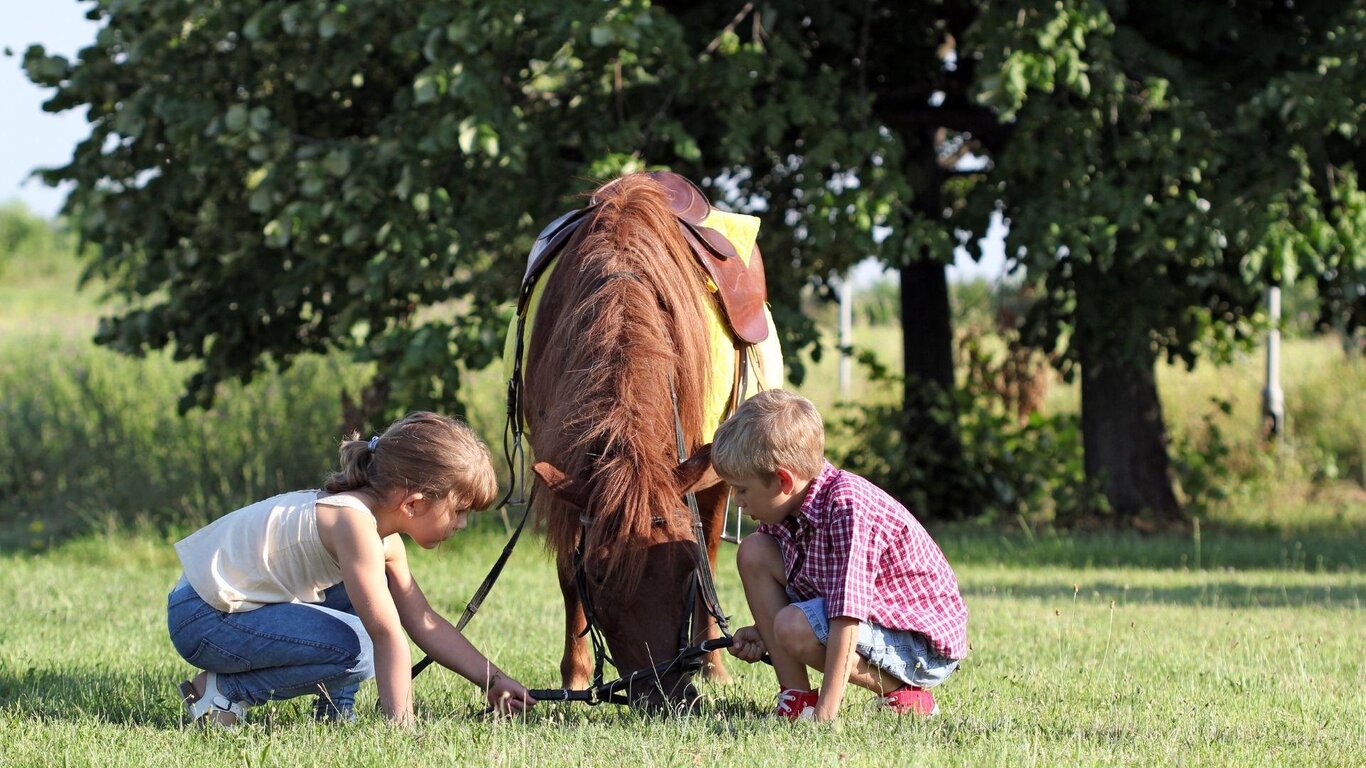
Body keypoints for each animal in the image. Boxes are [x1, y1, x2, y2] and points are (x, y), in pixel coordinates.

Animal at [515, 172, 772, 709]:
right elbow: (567, 575)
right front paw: (575, 678)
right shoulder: (564, 473)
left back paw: (715, 667)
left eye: (684, 571)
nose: (667, 694)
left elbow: (707, 559)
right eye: (601, 577)